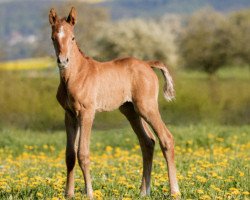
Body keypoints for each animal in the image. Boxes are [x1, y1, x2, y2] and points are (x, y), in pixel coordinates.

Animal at [48, 7, 180, 199]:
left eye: (72, 37)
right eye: (53, 38)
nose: (63, 61)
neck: (75, 75)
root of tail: (147, 64)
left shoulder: (87, 113)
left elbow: (83, 153)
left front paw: (90, 193)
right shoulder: (69, 114)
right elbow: (70, 155)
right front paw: (69, 194)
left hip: (147, 107)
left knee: (166, 138)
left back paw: (174, 191)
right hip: (131, 110)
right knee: (148, 142)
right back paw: (143, 192)